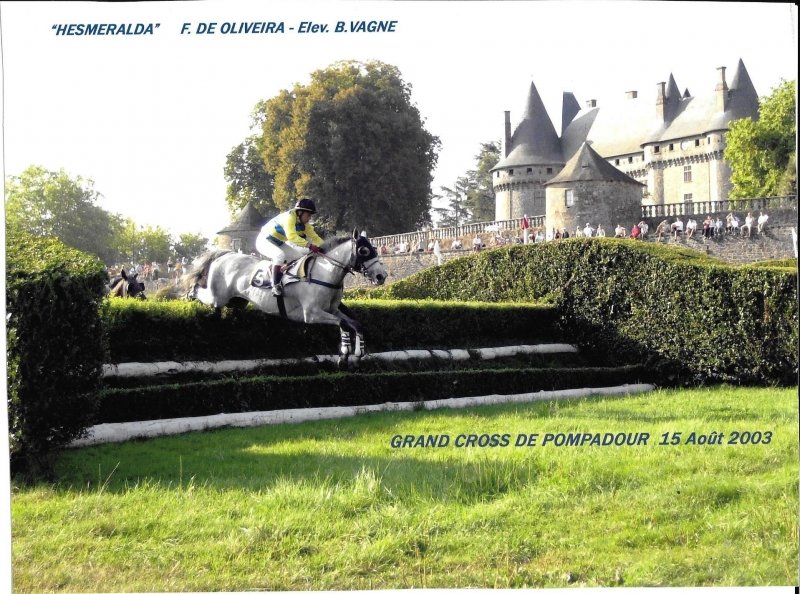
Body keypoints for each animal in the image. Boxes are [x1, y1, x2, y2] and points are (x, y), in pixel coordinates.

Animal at [183, 230, 388, 366]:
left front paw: (358, 352)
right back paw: (189, 294)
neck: (324, 273)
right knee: (202, 292)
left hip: (237, 301)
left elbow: (354, 324)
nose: (381, 276)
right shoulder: (311, 314)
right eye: (364, 251)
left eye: (374, 249)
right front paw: (345, 354)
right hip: (217, 296)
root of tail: (224, 255)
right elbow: (344, 324)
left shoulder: (332, 310)